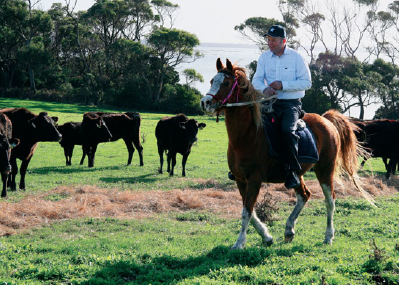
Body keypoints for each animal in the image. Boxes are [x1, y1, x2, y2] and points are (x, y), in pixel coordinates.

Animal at [202, 58, 374, 248]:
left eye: (225, 83)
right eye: (212, 81)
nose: (205, 102)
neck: (248, 135)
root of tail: (326, 120)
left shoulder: (254, 179)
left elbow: (246, 212)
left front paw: (239, 243)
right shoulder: (241, 180)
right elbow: (250, 210)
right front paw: (266, 236)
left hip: (324, 170)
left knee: (330, 200)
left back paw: (328, 236)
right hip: (296, 174)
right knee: (304, 195)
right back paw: (289, 230)